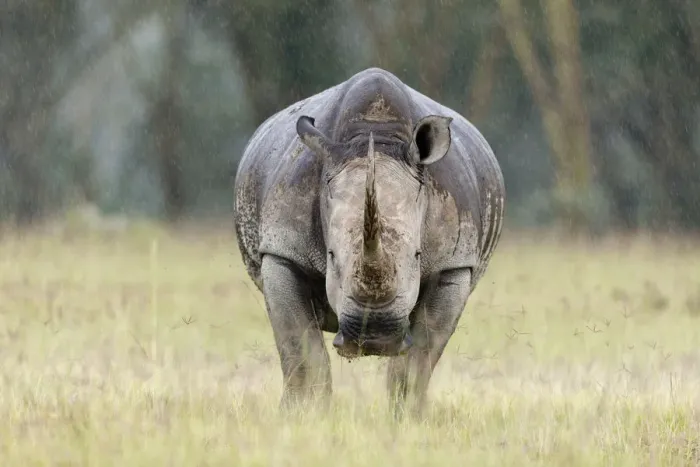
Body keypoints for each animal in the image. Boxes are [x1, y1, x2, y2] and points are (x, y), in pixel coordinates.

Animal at [233, 68, 505, 417]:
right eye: (331, 256)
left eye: (418, 256)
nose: (374, 338)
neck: (374, 134)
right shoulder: (282, 251)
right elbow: (303, 351)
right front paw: (302, 416)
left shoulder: (455, 262)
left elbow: (418, 360)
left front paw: (407, 419)